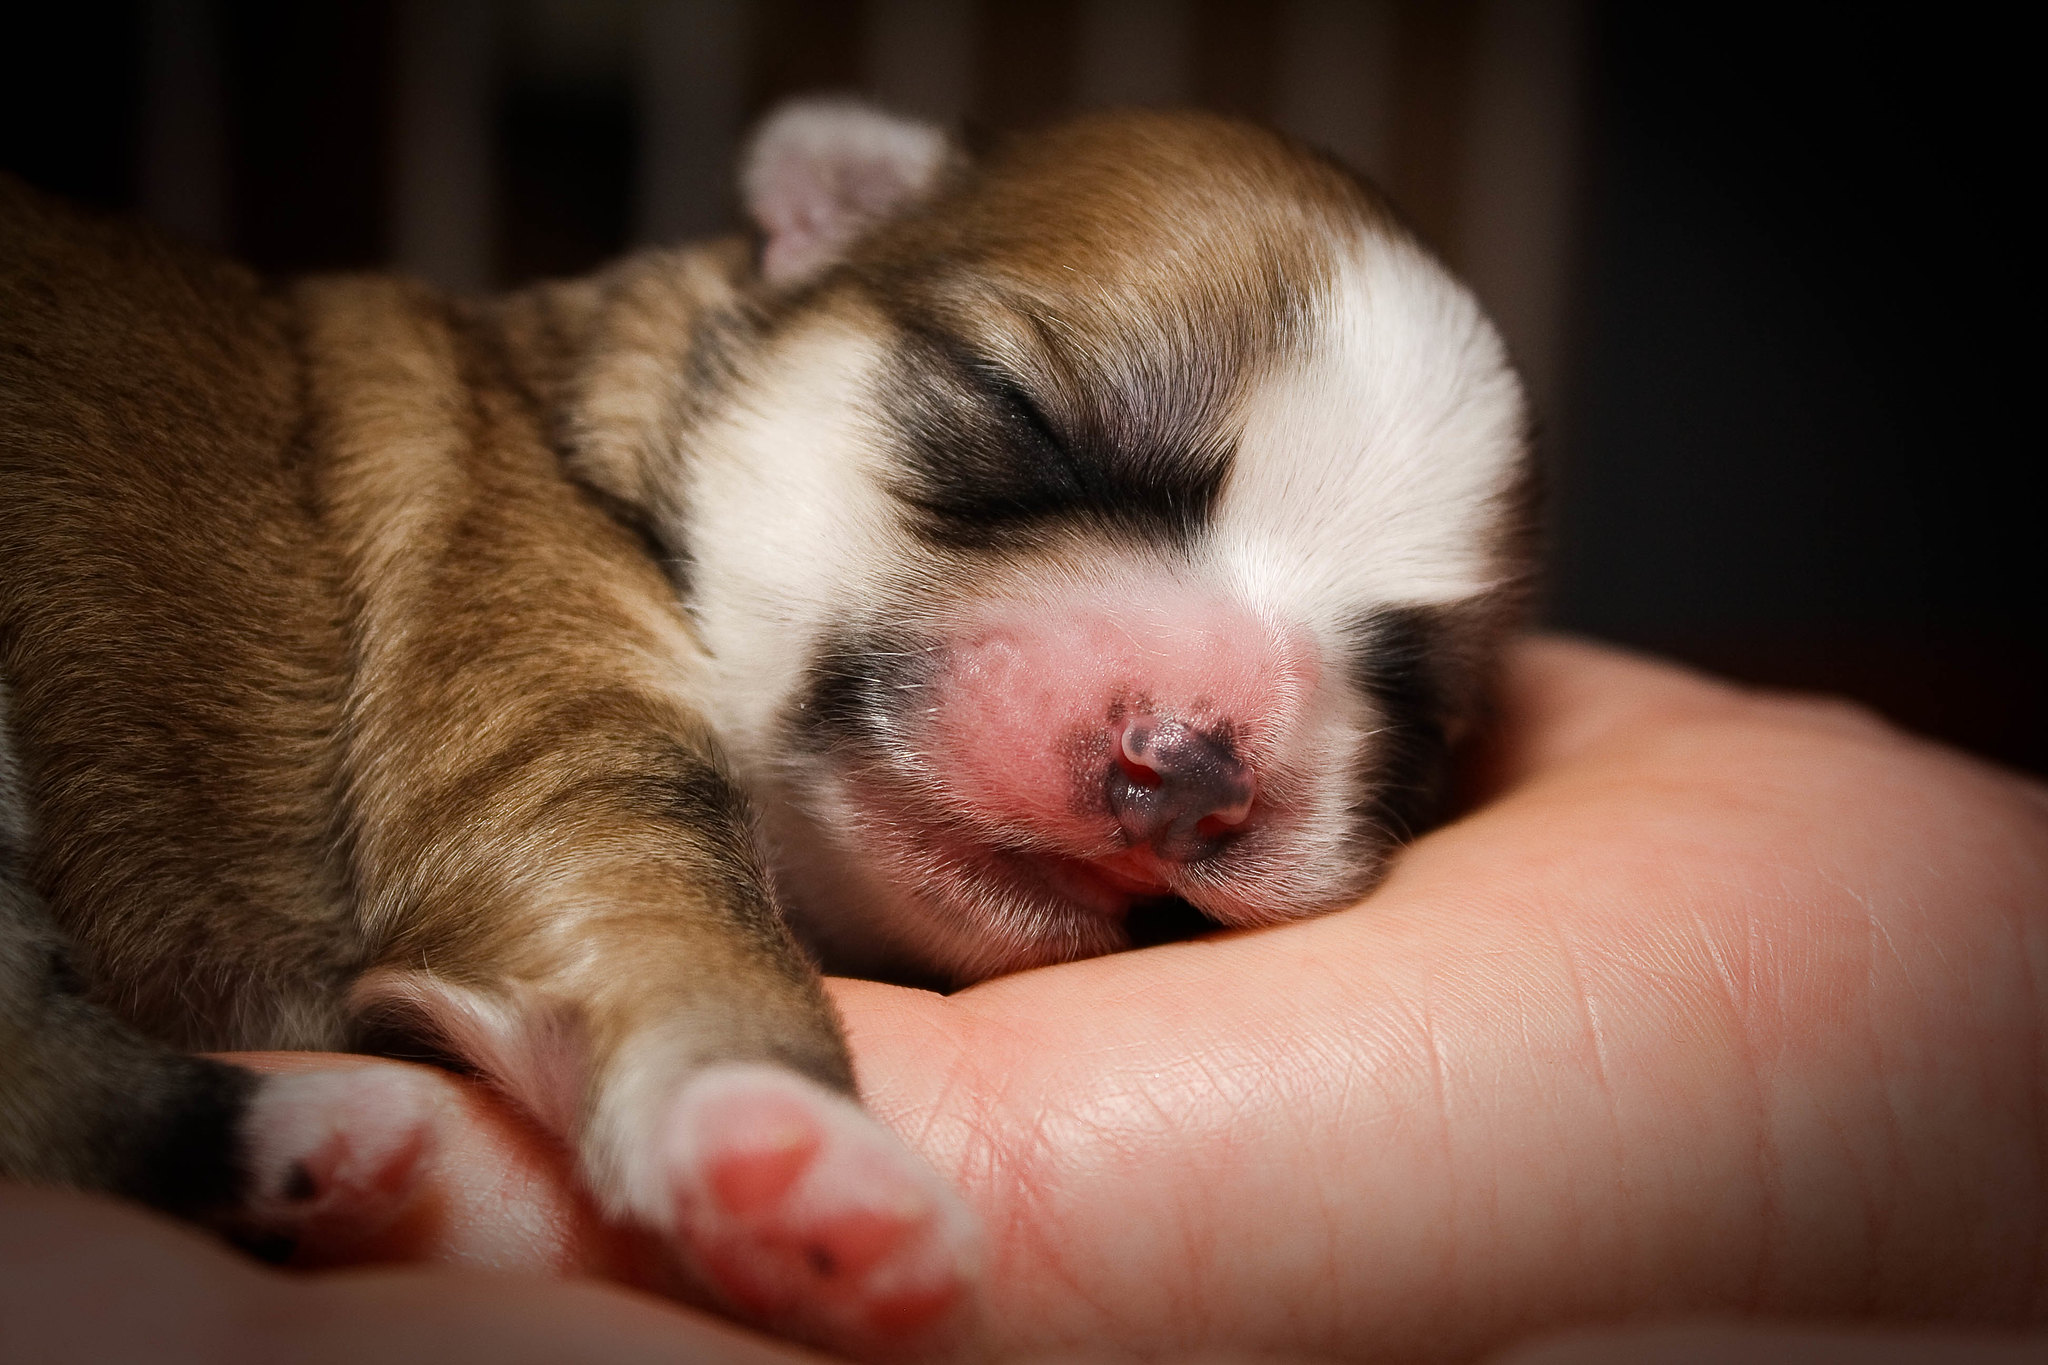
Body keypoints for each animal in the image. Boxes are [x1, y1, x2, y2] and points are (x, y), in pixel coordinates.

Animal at [0, 104, 1531, 1358]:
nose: (1192, 770)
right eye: (1027, 419)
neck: (595, 421)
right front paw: (798, 1153)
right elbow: (665, 917)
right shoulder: (523, 665)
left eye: (1413, 703)